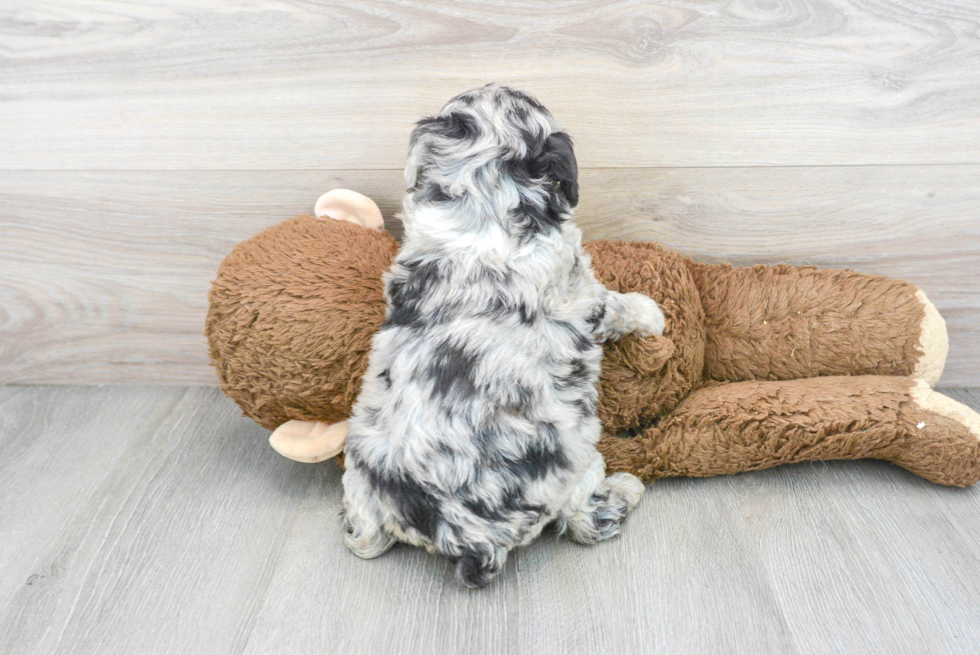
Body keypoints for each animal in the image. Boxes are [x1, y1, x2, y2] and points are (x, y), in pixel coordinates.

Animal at [338, 83, 668, 588]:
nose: (509, 83)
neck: (482, 196)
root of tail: (460, 537)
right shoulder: (581, 292)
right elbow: (615, 304)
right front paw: (651, 313)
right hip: (574, 459)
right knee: (583, 520)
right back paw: (626, 489)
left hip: (358, 467)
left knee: (364, 535)